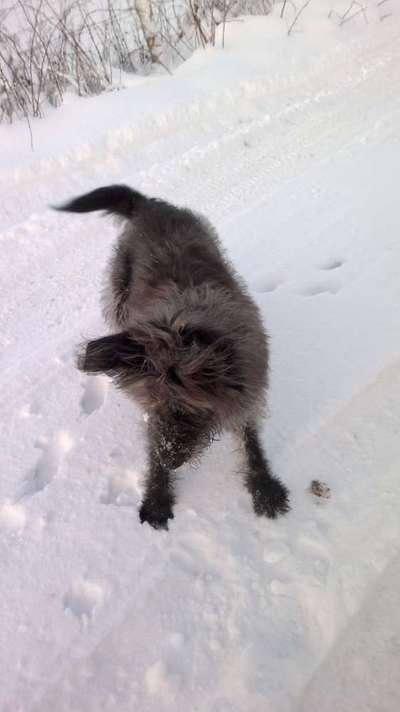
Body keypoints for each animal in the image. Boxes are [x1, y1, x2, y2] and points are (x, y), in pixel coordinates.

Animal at [56, 184, 290, 528]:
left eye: (187, 411)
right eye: (153, 405)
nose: (168, 459)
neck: (188, 331)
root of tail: (149, 206)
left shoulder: (247, 390)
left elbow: (250, 439)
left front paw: (263, 487)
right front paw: (157, 494)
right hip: (119, 295)